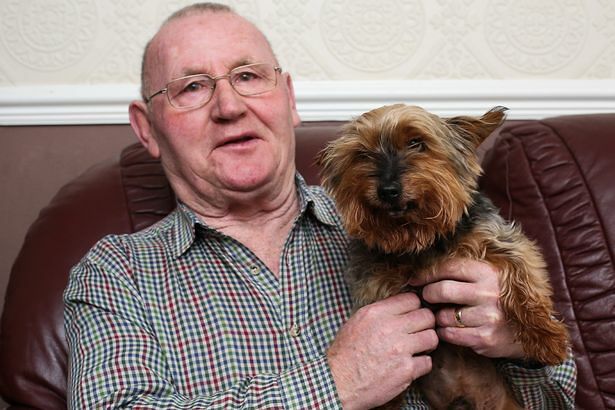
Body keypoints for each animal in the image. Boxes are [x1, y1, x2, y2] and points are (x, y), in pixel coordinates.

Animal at [320, 104, 572, 408]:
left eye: (417, 143)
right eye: (362, 154)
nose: (388, 190)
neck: (420, 240)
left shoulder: (502, 241)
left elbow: (523, 279)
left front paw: (546, 337)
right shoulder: (373, 282)